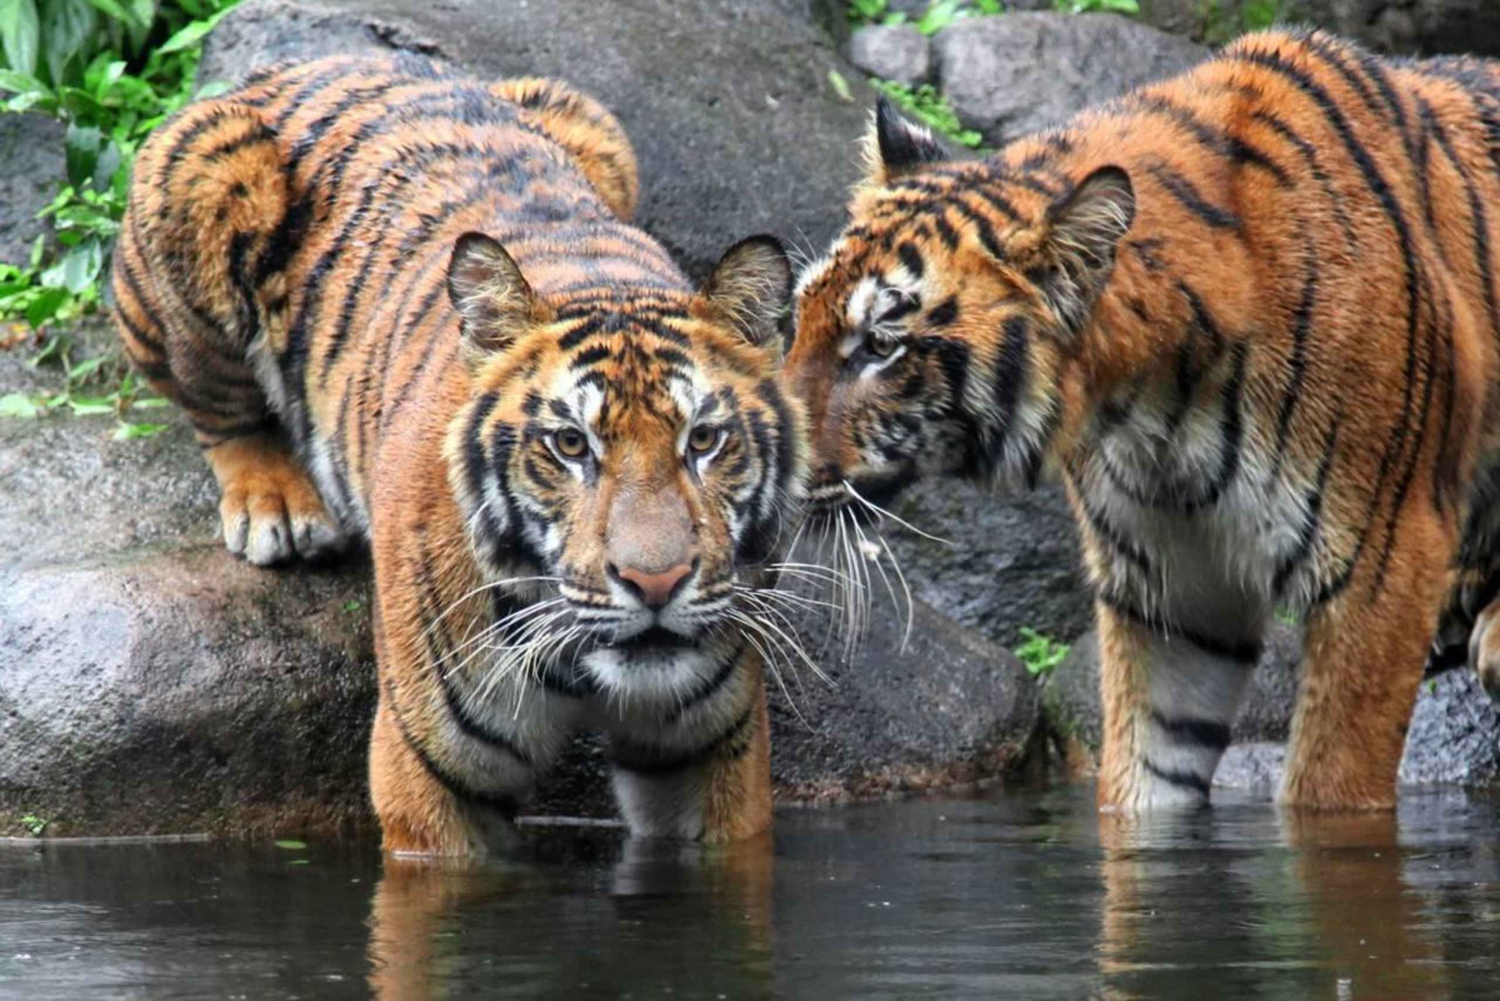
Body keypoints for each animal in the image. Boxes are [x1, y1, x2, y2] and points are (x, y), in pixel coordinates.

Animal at [110, 53, 806, 855]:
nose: (655, 583)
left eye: (704, 440)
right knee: (217, 406)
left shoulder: (710, 753)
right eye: (571, 444)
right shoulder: (432, 775)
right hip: (198, 172)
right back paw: (276, 507)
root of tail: (310, 61)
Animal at [786, 29, 1500, 813]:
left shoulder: (1381, 568)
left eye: (880, 346)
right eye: (799, 316)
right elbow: (1146, 774)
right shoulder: (1171, 594)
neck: (1157, 408)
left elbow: (1332, 784)